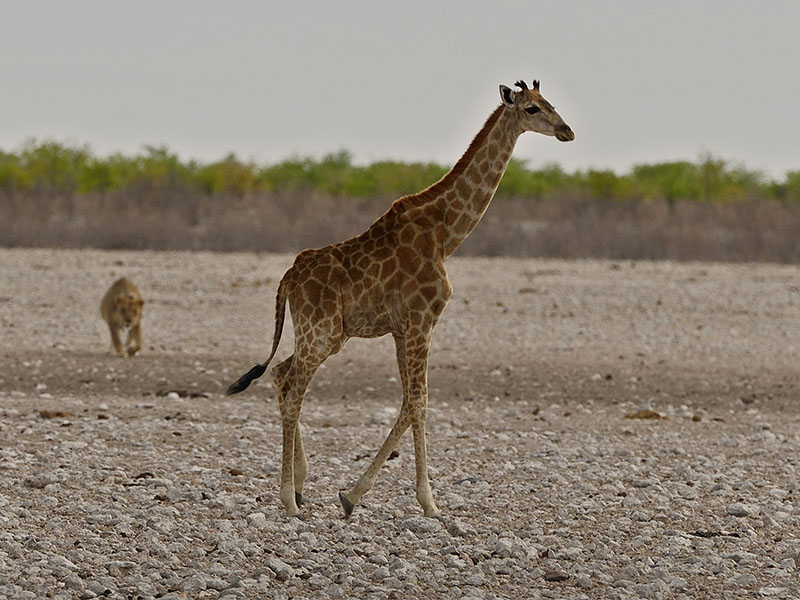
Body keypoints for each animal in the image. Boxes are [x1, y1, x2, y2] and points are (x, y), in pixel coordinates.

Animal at [227, 79, 574, 518]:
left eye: (551, 103)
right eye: (531, 109)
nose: (566, 131)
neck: (445, 235)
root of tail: (288, 278)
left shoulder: (400, 327)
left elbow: (409, 400)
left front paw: (352, 494)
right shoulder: (422, 319)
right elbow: (420, 401)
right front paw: (429, 503)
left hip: (327, 335)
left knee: (278, 373)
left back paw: (302, 485)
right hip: (320, 332)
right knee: (292, 387)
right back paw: (289, 499)